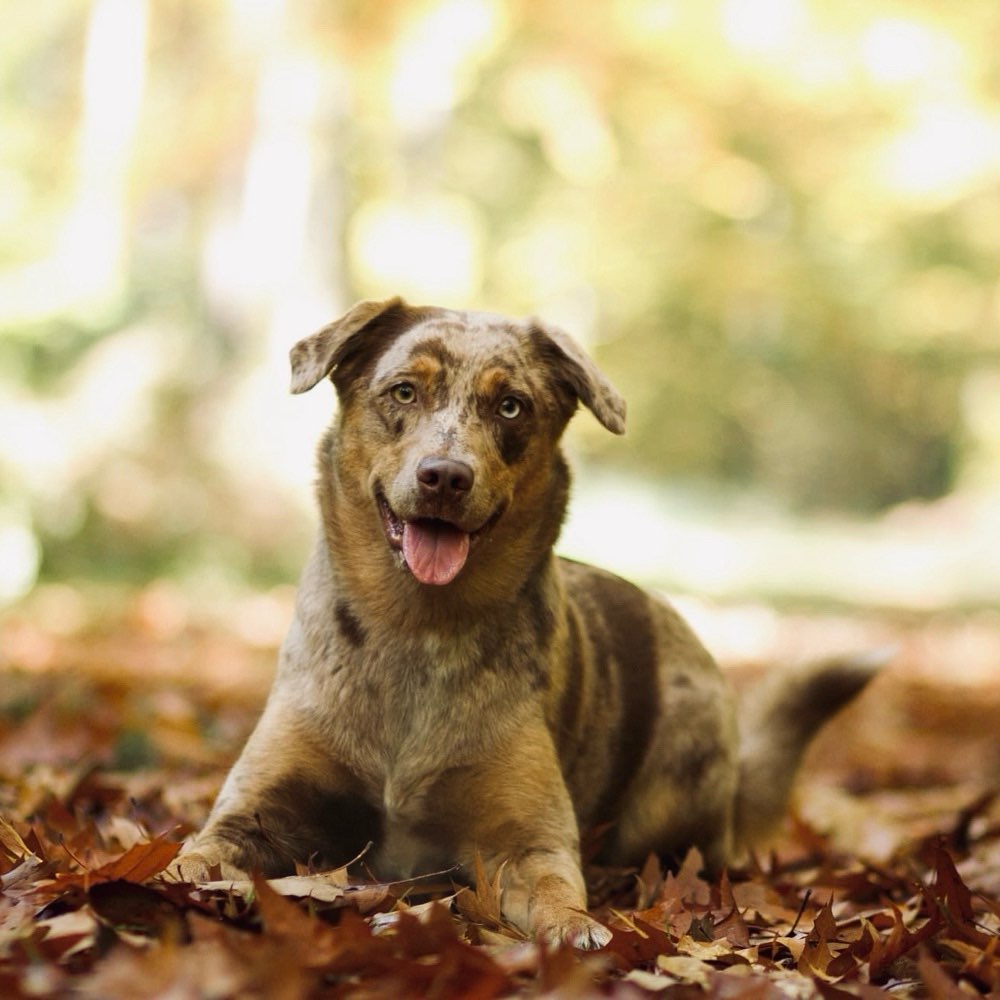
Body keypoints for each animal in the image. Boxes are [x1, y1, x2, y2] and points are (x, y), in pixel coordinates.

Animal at [174, 296, 884, 944]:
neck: (419, 625)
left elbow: (553, 890)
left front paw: (579, 930)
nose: (445, 476)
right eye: (403, 390)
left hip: (677, 776)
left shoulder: (525, 839)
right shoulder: (257, 809)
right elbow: (197, 855)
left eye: (511, 406)